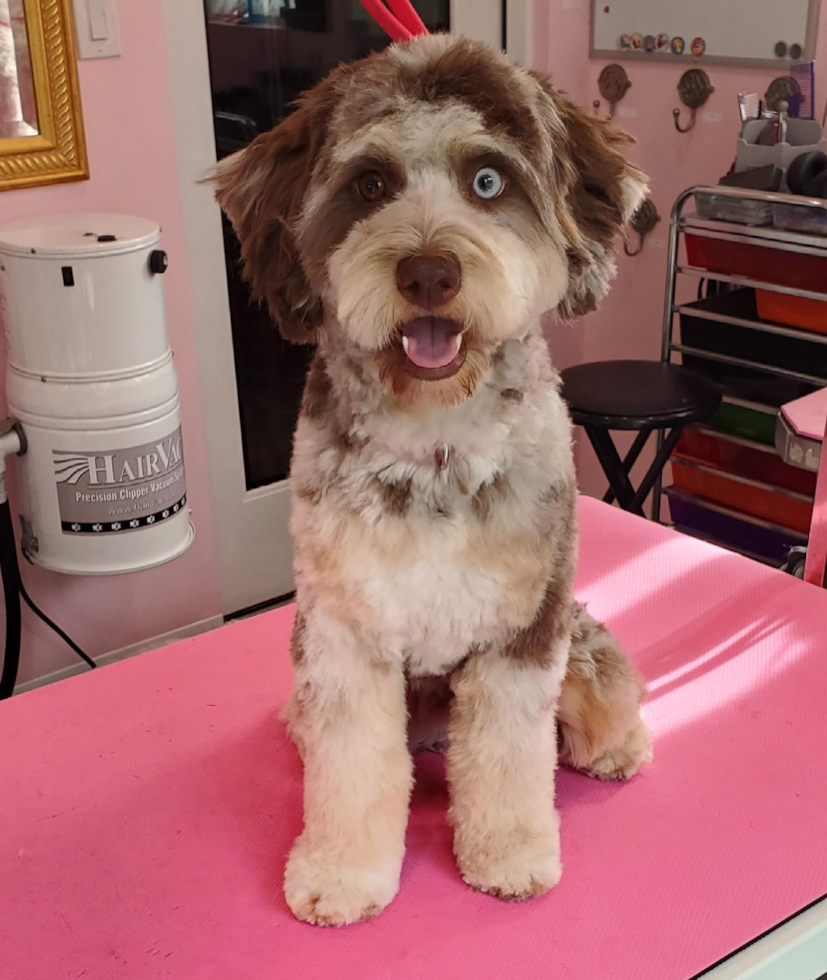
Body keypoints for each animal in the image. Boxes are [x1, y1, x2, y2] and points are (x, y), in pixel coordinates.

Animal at [213, 34, 652, 928]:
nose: (426, 272)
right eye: (369, 185)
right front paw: (342, 874)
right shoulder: (342, 636)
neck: (436, 441)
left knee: (600, 714)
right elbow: (350, 765)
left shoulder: (521, 634)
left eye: (488, 181)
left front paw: (509, 855)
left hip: (578, 655)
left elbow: (511, 756)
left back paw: (618, 748)